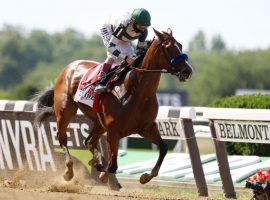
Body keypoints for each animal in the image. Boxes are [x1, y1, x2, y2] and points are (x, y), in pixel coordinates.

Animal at [33, 28, 193, 189]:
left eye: (180, 45)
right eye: (168, 47)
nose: (187, 71)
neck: (137, 91)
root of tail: (70, 67)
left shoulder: (146, 127)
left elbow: (164, 148)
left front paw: (145, 176)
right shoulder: (113, 131)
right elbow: (113, 165)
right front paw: (102, 170)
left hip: (99, 122)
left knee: (89, 142)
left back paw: (95, 161)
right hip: (65, 111)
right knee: (62, 138)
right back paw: (69, 171)